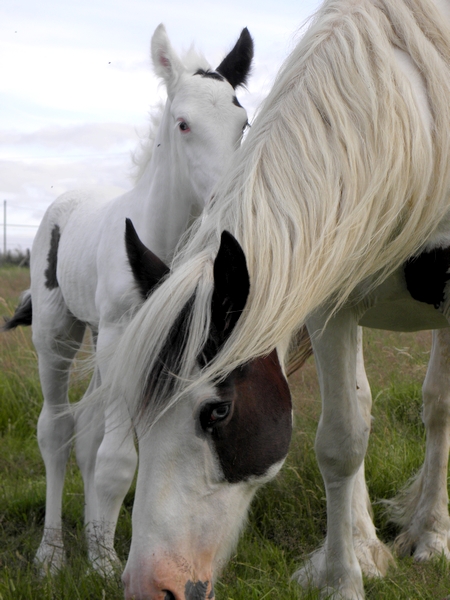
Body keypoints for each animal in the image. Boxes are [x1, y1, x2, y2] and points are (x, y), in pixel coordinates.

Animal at [3, 23, 255, 576]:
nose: (226, 207)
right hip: (58, 335)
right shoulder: (122, 335)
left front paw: (103, 553)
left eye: (242, 123)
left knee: (88, 430)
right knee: (57, 429)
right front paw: (103, 567)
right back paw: (52, 553)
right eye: (183, 124)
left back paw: (91, 538)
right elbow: (118, 459)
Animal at [72, 0, 450, 596]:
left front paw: (421, 543)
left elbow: (433, 409)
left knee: (435, 407)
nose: (149, 585)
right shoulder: (329, 304)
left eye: (219, 412)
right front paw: (346, 574)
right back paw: (366, 544)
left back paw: (427, 530)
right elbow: (342, 440)